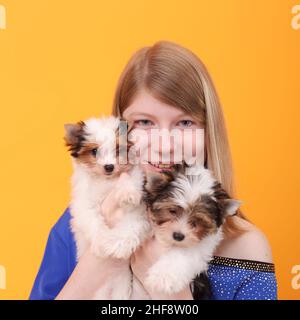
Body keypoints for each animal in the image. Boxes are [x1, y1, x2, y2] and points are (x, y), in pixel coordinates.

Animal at [64, 115, 151, 300]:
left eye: (118, 151)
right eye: (94, 151)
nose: (109, 167)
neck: (106, 181)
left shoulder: (138, 204)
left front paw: (127, 192)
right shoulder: (84, 204)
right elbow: (92, 221)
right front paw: (102, 241)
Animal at [142, 165, 241, 298]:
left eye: (197, 221)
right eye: (172, 211)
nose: (178, 236)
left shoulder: (201, 246)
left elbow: (182, 253)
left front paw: (163, 277)